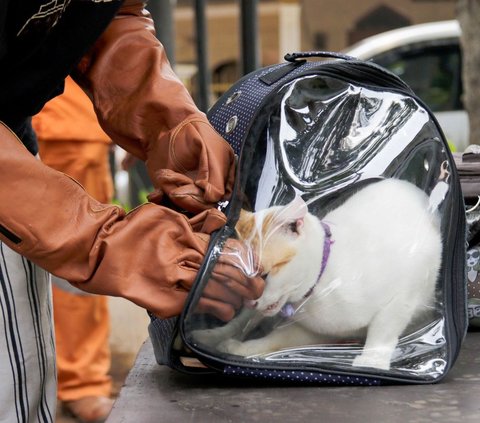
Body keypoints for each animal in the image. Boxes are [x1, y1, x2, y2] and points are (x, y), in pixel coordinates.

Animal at [192, 179, 442, 372]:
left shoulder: (404, 293)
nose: (250, 301)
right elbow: (272, 338)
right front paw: (238, 346)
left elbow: (384, 329)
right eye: (243, 277)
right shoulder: (315, 330)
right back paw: (211, 336)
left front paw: (372, 361)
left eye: (265, 275)